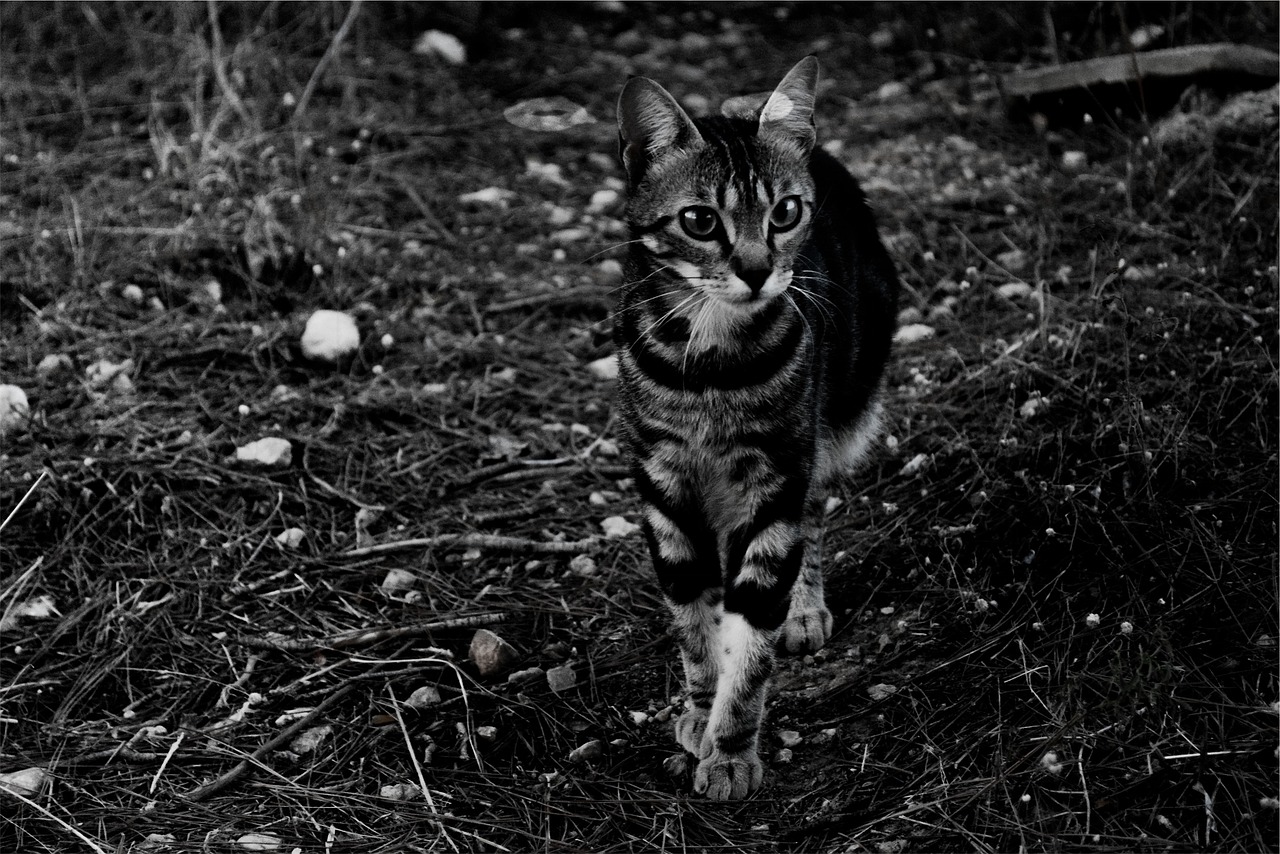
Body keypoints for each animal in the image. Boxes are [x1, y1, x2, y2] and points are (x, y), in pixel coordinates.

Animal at [611, 58, 901, 804]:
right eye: (699, 220)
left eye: (786, 213)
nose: (755, 269)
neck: (712, 371)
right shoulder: (664, 482)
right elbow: (695, 622)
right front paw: (699, 710)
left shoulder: (776, 476)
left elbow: (753, 638)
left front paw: (732, 746)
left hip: (836, 418)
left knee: (816, 514)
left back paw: (803, 608)